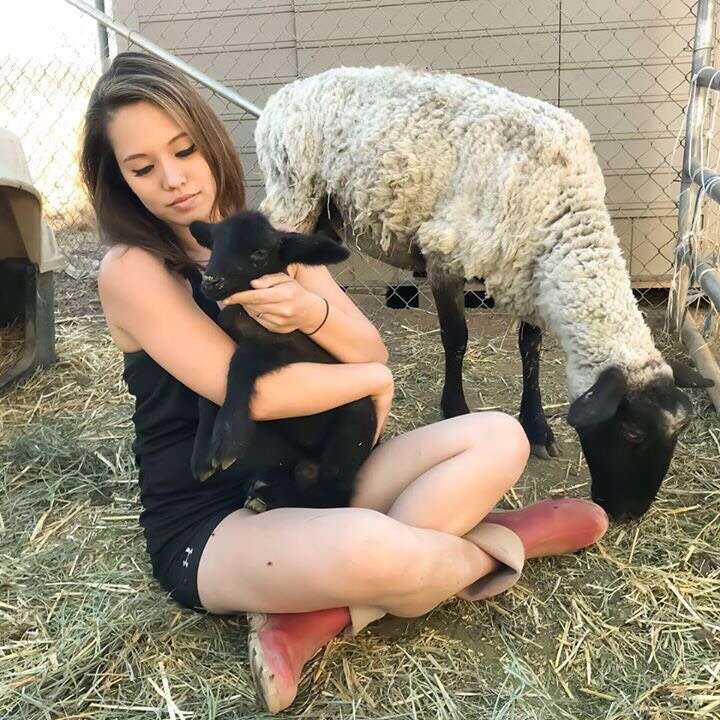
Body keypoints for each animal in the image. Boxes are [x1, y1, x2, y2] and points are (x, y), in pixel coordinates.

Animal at [189, 211, 376, 511]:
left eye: (259, 253)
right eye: (214, 245)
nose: (210, 282)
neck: (245, 318)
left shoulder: (283, 350)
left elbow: (239, 364)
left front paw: (228, 439)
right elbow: (204, 395)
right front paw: (201, 457)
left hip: (354, 430)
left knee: (334, 494)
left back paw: (268, 498)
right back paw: (262, 491)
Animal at [254, 65, 713, 520]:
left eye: (679, 431)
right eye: (633, 432)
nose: (629, 514)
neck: (564, 207)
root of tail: (284, 96)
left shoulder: (528, 272)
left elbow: (530, 347)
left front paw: (537, 427)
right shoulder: (443, 256)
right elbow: (456, 339)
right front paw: (456, 412)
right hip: (294, 197)